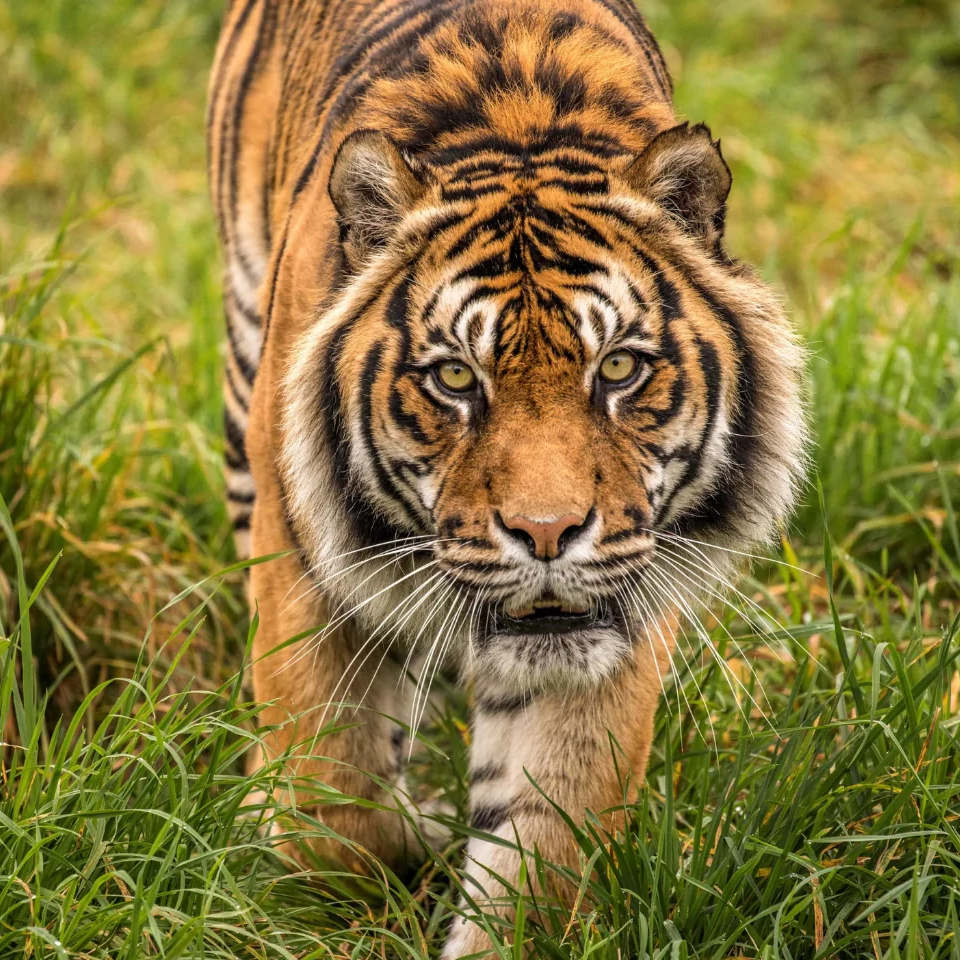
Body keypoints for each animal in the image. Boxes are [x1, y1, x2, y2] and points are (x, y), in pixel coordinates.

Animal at [206, 0, 807, 954]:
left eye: (619, 368)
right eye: (456, 378)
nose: (548, 533)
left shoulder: (610, 624)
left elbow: (546, 848)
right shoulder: (303, 562)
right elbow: (331, 805)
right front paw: (359, 853)